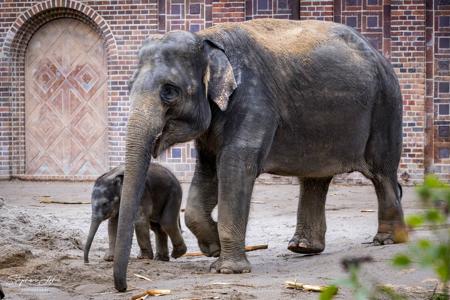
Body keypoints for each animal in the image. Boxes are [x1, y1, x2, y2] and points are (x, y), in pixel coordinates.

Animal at [114, 18, 406, 290]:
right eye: (129, 87)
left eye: (169, 91)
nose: (124, 287)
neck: (208, 40)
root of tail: (379, 54)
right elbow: (208, 173)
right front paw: (213, 249)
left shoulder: (254, 99)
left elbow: (234, 166)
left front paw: (227, 269)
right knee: (316, 178)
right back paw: (303, 248)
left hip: (386, 105)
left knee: (382, 173)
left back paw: (388, 240)